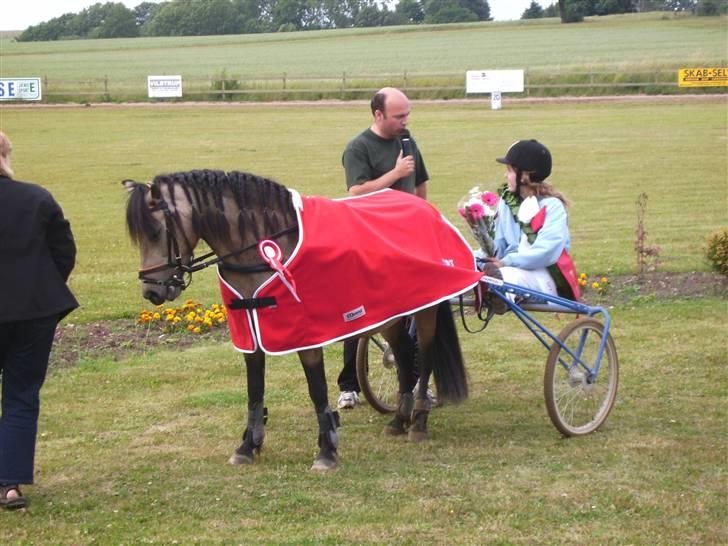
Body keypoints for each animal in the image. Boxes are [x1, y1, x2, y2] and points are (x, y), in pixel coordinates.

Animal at [124, 169, 476, 470]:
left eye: (155, 231)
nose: (151, 290)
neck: (265, 250)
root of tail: (424, 207)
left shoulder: (308, 336)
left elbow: (317, 390)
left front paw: (327, 451)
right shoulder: (251, 335)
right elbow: (254, 390)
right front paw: (248, 446)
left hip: (425, 309)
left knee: (423, 357)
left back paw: (418, 422)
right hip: (389, 312)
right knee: (402, 355)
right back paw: (398, 420)